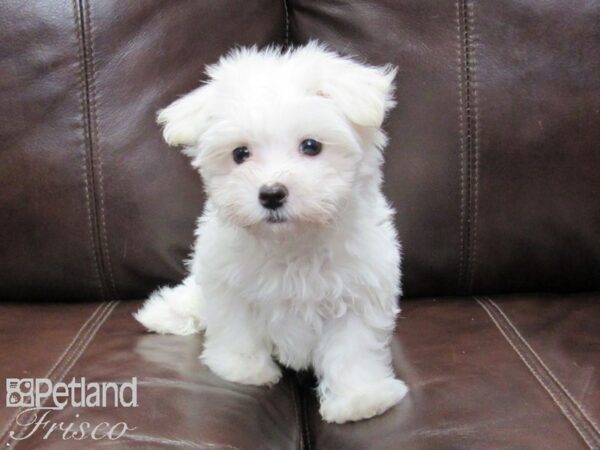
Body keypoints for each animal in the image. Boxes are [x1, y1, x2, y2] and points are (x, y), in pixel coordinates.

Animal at [135, 41, 408, 422]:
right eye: (240, 153)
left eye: (311, 146)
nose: (271, 194)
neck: (291, 243)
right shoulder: (229, 283)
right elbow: (236, 327)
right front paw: (243, 369)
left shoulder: (360, 290)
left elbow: (353, 347)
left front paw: (360, 399)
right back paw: (165, 311)